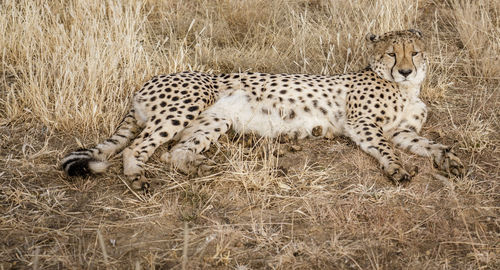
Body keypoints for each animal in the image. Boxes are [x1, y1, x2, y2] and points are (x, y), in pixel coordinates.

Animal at [61, 29, 464, 189]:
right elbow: (383, 148)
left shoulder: (402, 130)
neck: (406, 88)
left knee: (174, 152)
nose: (406, 69)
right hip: (188, 102)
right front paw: (397, 169)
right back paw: (137, 175)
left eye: (415, 52)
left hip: (214, 121)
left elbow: (430, 144)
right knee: (136, 147)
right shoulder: (361, 123)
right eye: (391, 54)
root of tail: (144, 83)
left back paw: (202, 167)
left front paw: (449, 159)